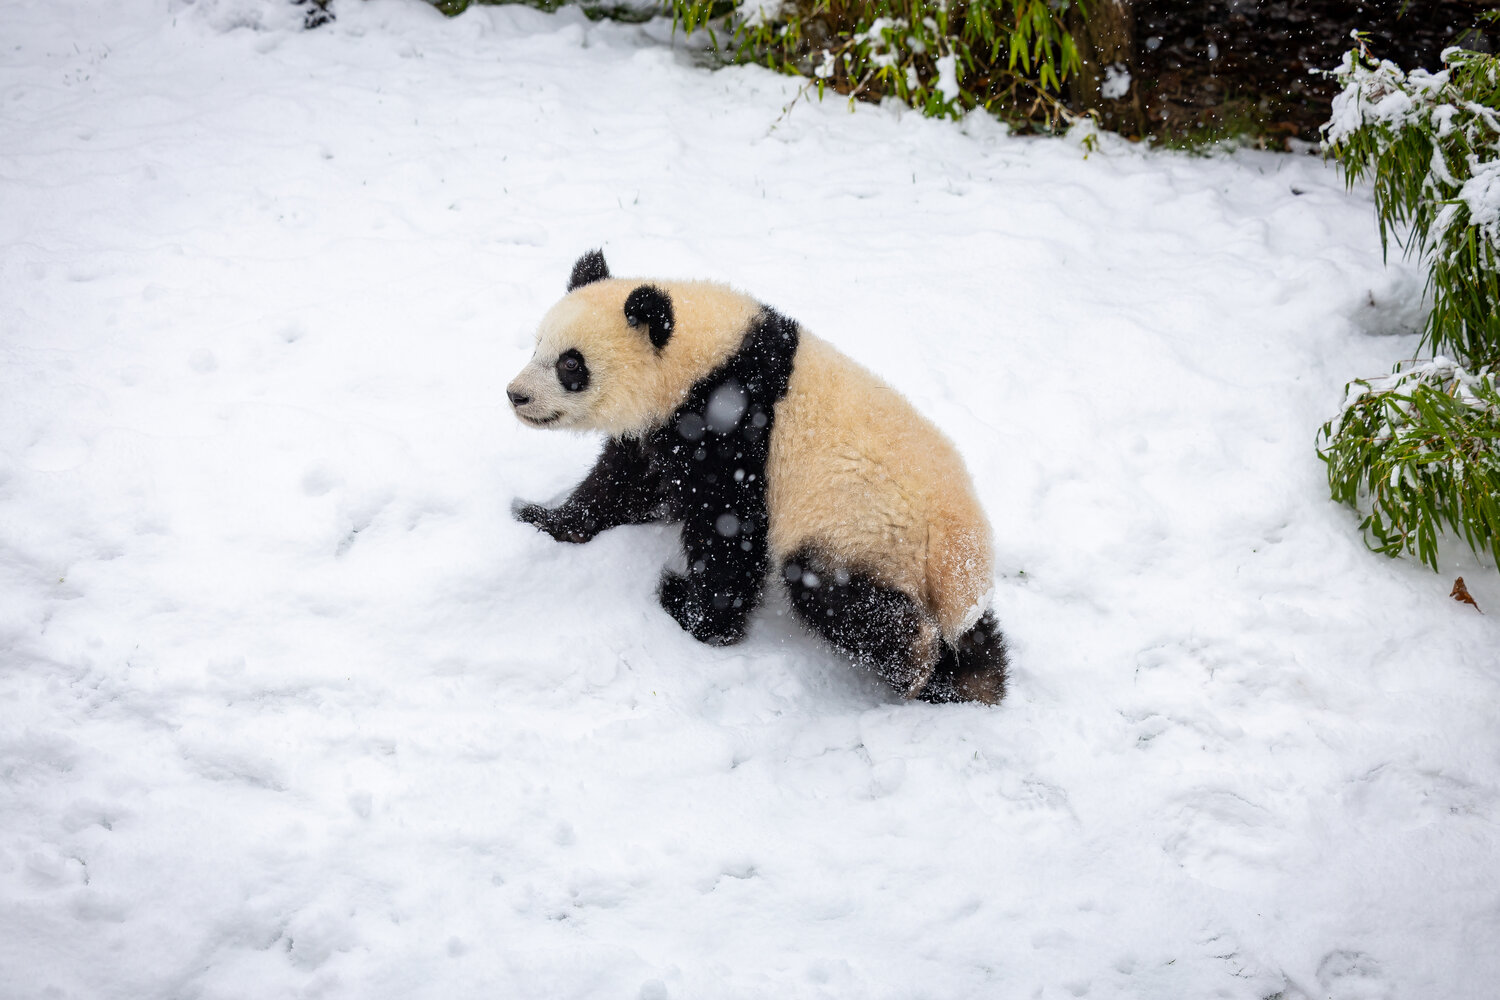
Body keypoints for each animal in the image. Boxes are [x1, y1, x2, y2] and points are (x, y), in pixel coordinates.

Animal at [507, 250, 1008, 704]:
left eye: (571, 364)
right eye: (537, 345)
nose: (516, 395)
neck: (701, 357)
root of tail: (957, 555)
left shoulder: (730, 426)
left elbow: (728, 531)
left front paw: (695, 614)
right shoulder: (667, 427)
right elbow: (624, 481)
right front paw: (543, 519)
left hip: (861, 526)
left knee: (837, 593)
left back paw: (917, 666)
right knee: (975, 638)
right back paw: (968, 682)